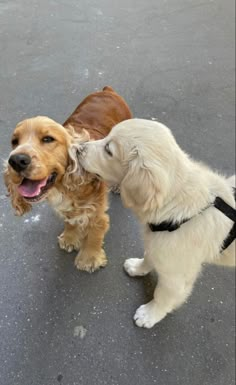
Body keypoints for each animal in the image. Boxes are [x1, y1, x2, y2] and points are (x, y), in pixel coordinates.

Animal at [3, 87, 132, 272]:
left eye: (48, 139)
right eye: (14, 141)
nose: (16, 161)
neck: (65, 186)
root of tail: (107, 90)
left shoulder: (97, 212)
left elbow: (95, 232)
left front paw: (89, 259)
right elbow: (70, 221)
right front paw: (70, 239)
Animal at [71, 118, 235, 328]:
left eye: (108, 150)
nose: (78, 148)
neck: (176, 203)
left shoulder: (176, 277)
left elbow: (162, 296)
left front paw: (150, 314)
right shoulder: (157, 244)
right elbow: (149, 257)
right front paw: (138, 268)